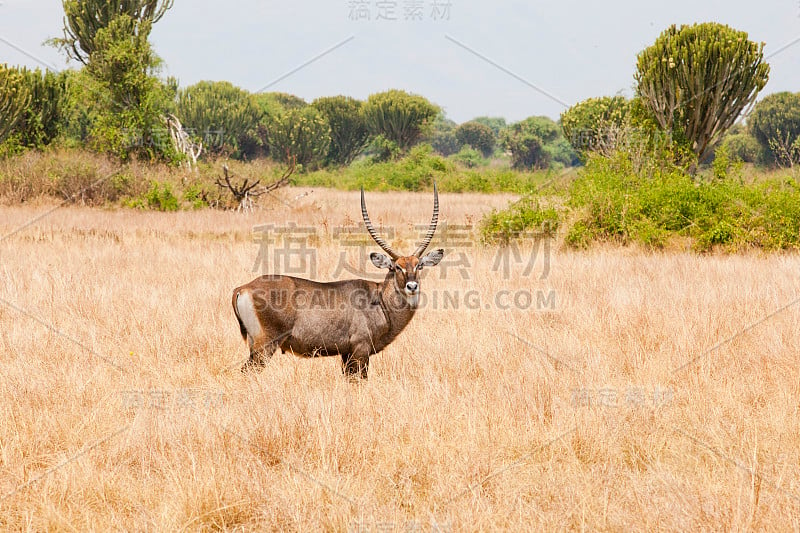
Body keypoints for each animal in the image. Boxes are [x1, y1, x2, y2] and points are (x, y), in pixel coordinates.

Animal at [231, 185, 444, 376]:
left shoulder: (346, 354)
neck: (381, 301)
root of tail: (243, 288)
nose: (412, 286)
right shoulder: (360, 351)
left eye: (419, 265)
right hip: (264, 346)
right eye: (396, 267)